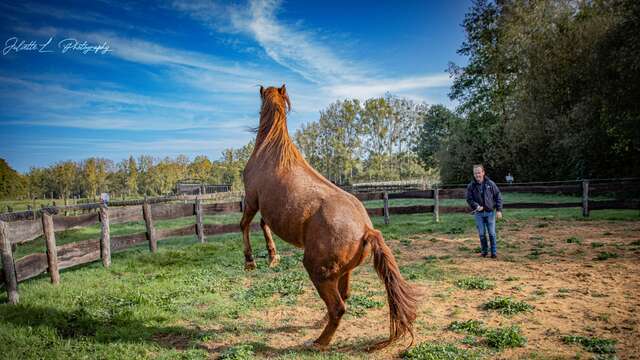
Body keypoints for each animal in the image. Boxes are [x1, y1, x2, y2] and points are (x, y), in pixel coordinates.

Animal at [239, 83, 416, 348]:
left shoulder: (252, 199)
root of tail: (367, 230)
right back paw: (320, 325)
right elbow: (262, 225)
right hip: (342, 272)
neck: (269, 150)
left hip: (317, 270)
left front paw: (250, 261)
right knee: (343, 298)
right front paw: (272, 256)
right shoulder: (268, 210)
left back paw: (319, 342)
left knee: (338, 307)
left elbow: (244, 225)